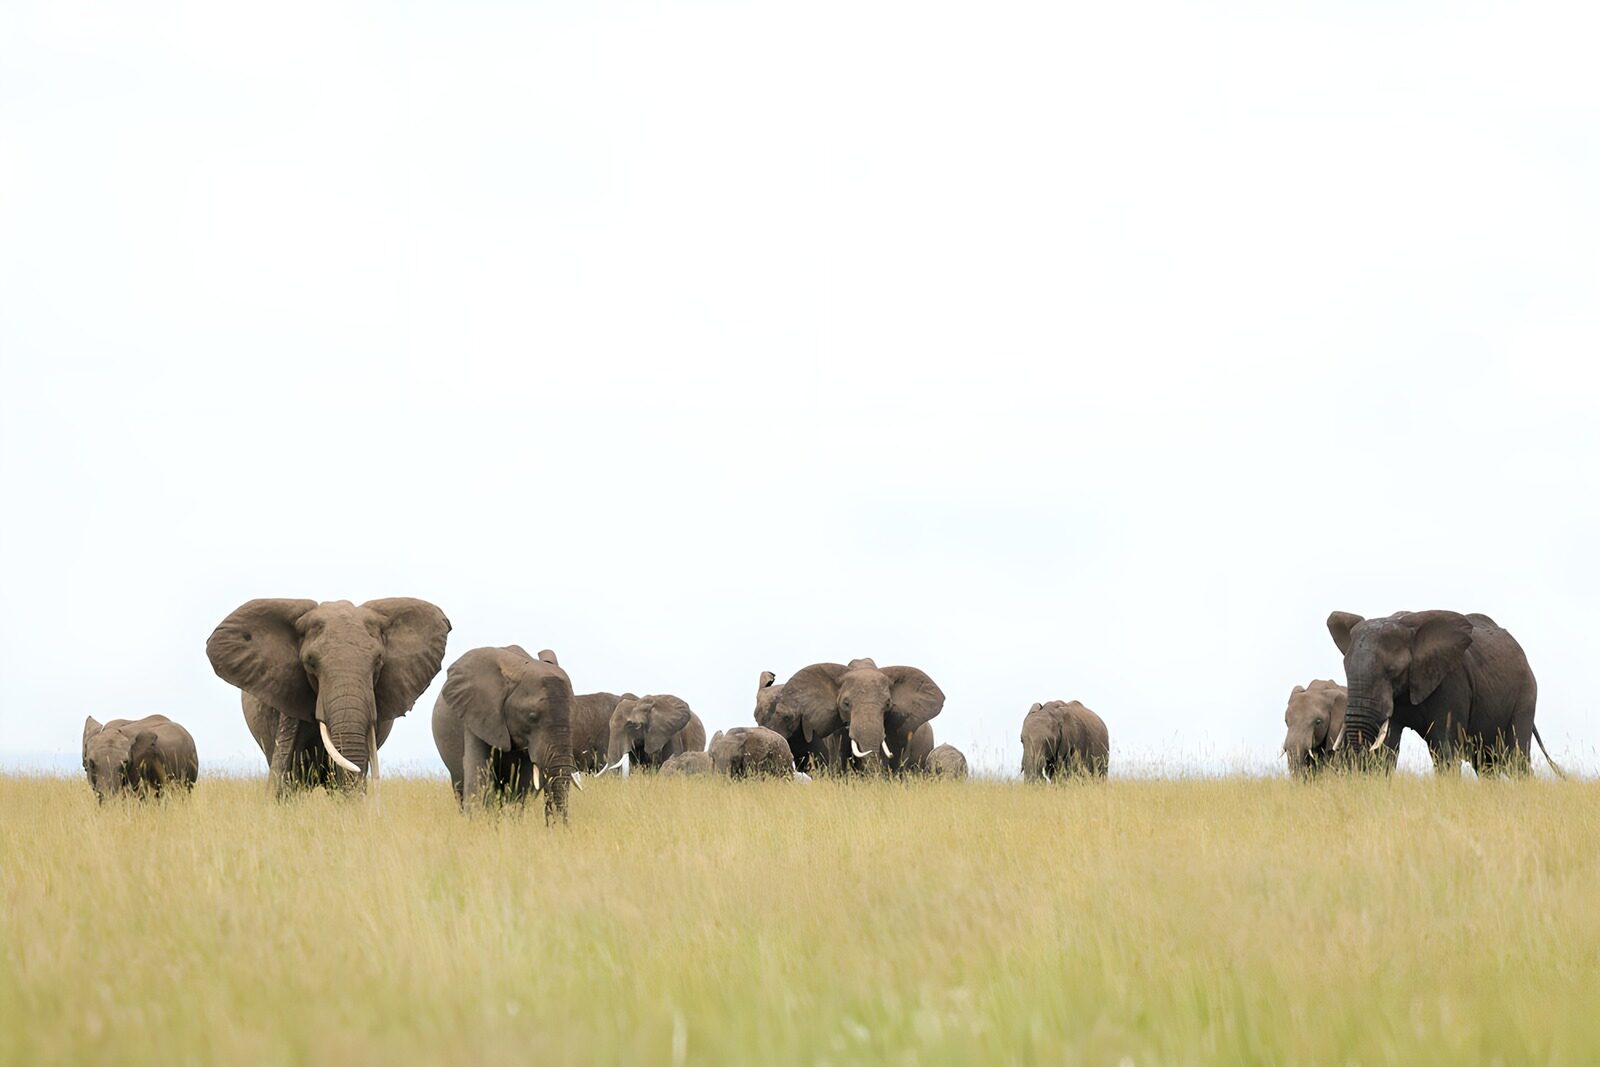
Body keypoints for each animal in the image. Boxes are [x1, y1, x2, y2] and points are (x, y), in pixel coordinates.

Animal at [1328, 610, 1562, 777]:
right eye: (1345, 669)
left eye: (1392, 670)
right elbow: (1387, 750)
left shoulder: (1451, 683)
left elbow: (1444, 750)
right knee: (1485, 765)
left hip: (1526, 694)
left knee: (1516, 760)